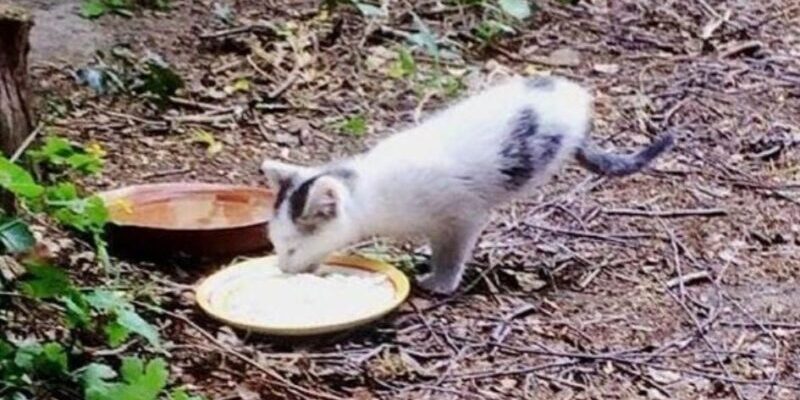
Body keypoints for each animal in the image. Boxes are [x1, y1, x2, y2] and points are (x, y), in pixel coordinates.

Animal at [260, 76, 672, 294]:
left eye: (293, 248)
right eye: (276, 246)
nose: (283, 269)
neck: (371, 194)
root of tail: (570, 91)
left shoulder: (462, 217)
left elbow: (452, 254)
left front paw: (439, 282)